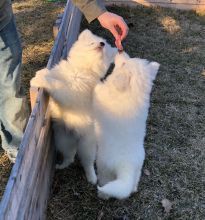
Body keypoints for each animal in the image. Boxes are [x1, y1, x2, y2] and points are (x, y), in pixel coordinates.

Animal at [30, 29, 117, 184]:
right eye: (92, 43)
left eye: (105, 48)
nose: (101, 44)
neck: (80, 69)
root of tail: (75, 135)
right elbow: (53, 76)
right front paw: (42, 72)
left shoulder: (71, 92)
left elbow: (55, 84)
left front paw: (40, 79)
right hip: (63, 140)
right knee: (69, 157)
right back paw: (61, 165)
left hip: (87, 146)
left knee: (87, 162)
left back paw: (92, 177)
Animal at [93, 52, 160, 199]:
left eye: (124, 64)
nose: (120, 51)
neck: (133, 93)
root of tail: (127, 165)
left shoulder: (102, 97)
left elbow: (97, 91)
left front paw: (96, 83)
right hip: (137, 170)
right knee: (132, 185)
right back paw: (133, 189)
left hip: (104, 166)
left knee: (105, 179)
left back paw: (102, 194)